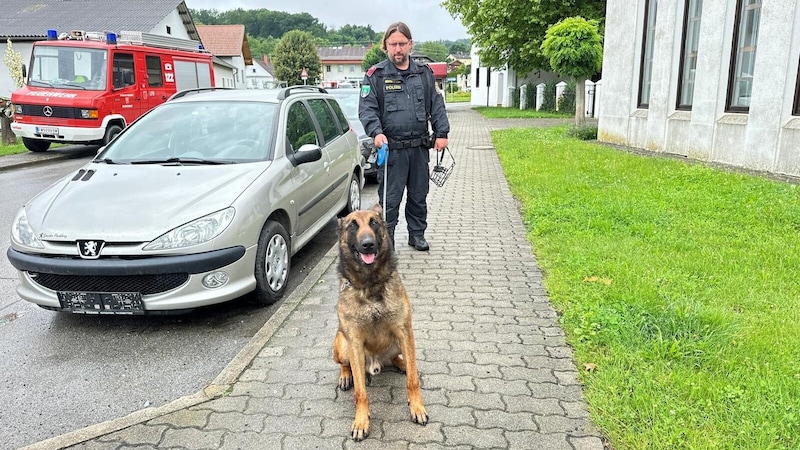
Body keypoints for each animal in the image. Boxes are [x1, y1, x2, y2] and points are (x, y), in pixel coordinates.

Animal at [332, 206, 428, 442]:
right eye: (353, 226)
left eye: (374, 223)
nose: (368, 244)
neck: (370, 283)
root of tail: (376, 364)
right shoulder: (354, 341)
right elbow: (360, 393)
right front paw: (361, 422)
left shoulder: (404, 331)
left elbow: (412, 380)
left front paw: (417, 407)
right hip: (343, 344)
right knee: (346, 365)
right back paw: (346, 376)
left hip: (400, 342)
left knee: (400, 359)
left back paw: (403, 363)